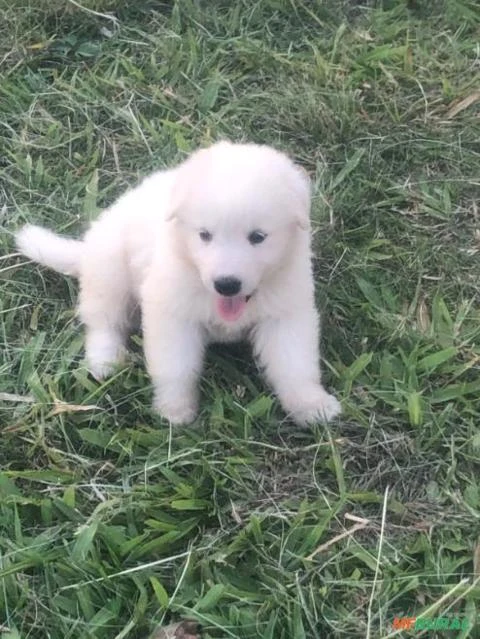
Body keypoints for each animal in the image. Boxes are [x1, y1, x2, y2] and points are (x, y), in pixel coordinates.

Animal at [15, 142, 342, 428]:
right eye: (204, 235)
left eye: (258, 237)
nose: (226, 284)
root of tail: (86, 248)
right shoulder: (172, 314)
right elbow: (176, 367)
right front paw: (174, 411)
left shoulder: (286, 314)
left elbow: (295, 365)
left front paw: (312, 406)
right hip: (110, 272)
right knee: (103, 322)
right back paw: (105, 361)